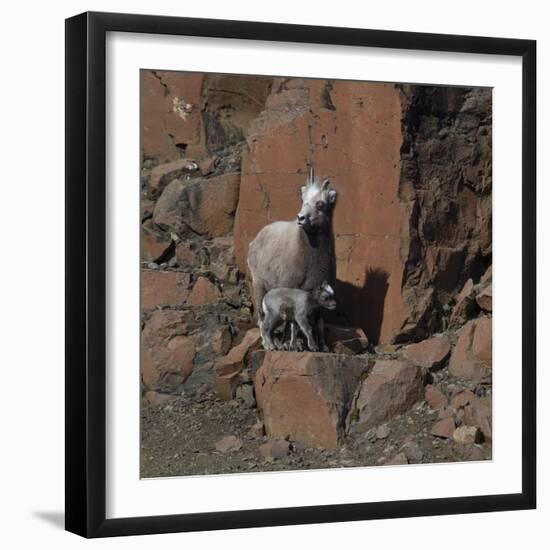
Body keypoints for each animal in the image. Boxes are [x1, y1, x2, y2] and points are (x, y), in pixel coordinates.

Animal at [248, 168, 338, 352]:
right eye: (303, 201)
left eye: (321, 204)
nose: (301, 218)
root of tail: (254, 241)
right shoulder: (293, 293)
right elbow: (294, 325)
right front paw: (292, 345)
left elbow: (319, 323)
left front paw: (324, 347)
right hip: (259, 286)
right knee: (262, 318)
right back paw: (269, 344)